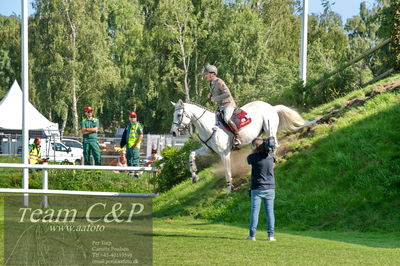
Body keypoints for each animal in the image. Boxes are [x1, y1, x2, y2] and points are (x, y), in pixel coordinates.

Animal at [170, 100, 314, 193]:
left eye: (179, 115)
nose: (173, 132)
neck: (209, 126)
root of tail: (271, 107)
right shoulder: (209, 150)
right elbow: (191, 155)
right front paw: (194, 175)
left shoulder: (224, 154)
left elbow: (227, 172)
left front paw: (229, 189)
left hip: (270, 129)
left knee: (274, 145)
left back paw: (272, 163)